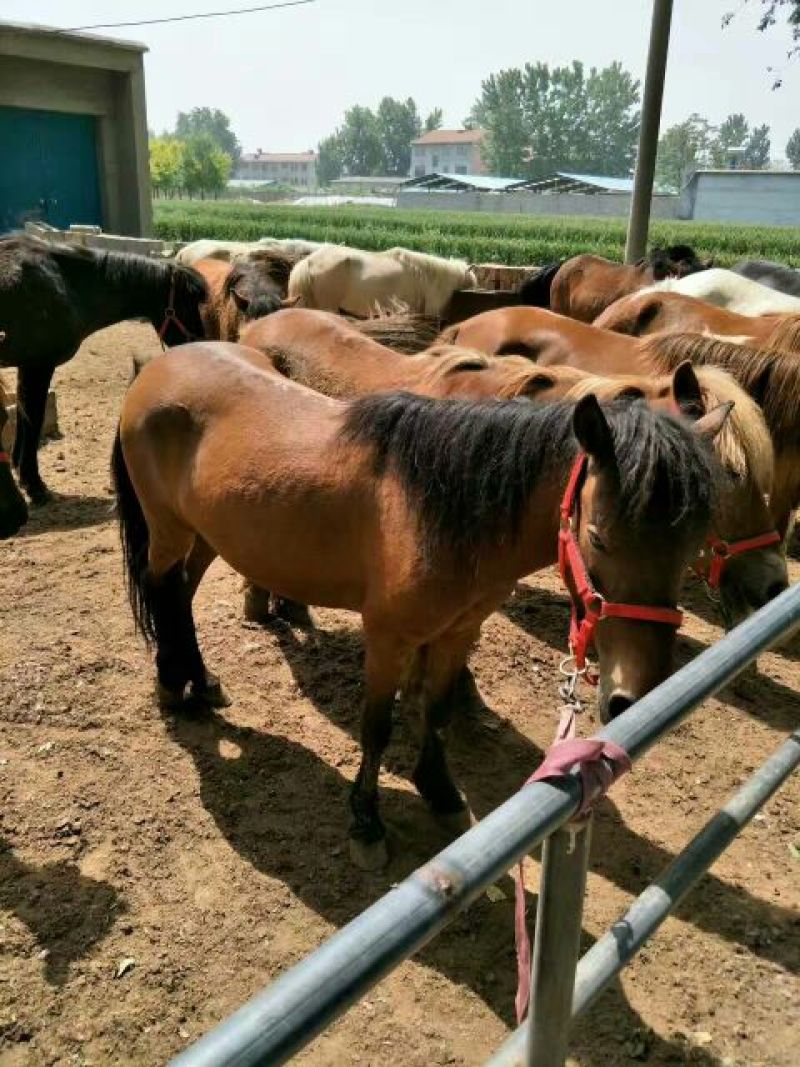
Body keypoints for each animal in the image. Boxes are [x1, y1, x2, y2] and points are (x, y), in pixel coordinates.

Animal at [0, 236, 207, 503]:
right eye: (187, 302)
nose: (200, 343)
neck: (66, 282)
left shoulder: (28, 366)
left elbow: (24, 417)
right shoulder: (38, 365)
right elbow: (33, 419)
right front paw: (34, 485)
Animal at [113, 341, 724, 867]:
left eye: (694, 543)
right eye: (598, 537)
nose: (633, 696)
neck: (449, 507)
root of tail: (157, 366)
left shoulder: (458, 631)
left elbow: (437, 711)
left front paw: (441, 793)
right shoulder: (389, 637)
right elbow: (376, 727)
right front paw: (366, 823)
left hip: (209, 533)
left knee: (181, 597)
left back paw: (199, 681)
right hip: (168, 529)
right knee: (164, 592)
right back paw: (172, 686)